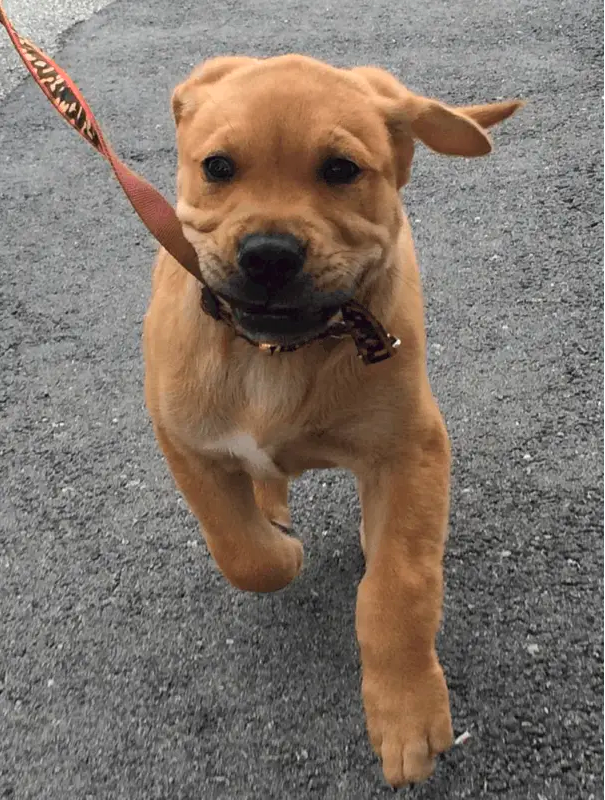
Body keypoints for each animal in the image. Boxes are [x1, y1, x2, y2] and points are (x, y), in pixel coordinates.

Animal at [144, 56, 520, 788]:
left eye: (341, 170)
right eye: (218, 167)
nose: (267, 254)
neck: (277, 355)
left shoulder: (411, 450)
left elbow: (399, 586)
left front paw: (406, 711)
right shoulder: (186, 443)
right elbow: (241, 552)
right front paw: (280, 548)